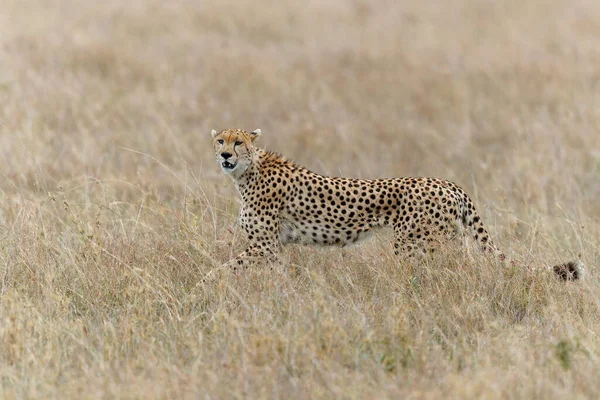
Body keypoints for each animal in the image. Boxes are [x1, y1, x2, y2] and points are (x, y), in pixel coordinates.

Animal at [211, 128, 580, 282]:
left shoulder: (265, 246)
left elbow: (224, 267)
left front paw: (205, 286)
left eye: (238, 142)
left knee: (458, 267)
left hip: (416, 244)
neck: (248, 171)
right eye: (219, 140)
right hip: (440, 240)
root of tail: (447, 182)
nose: (225, 155)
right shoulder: (274, 248)